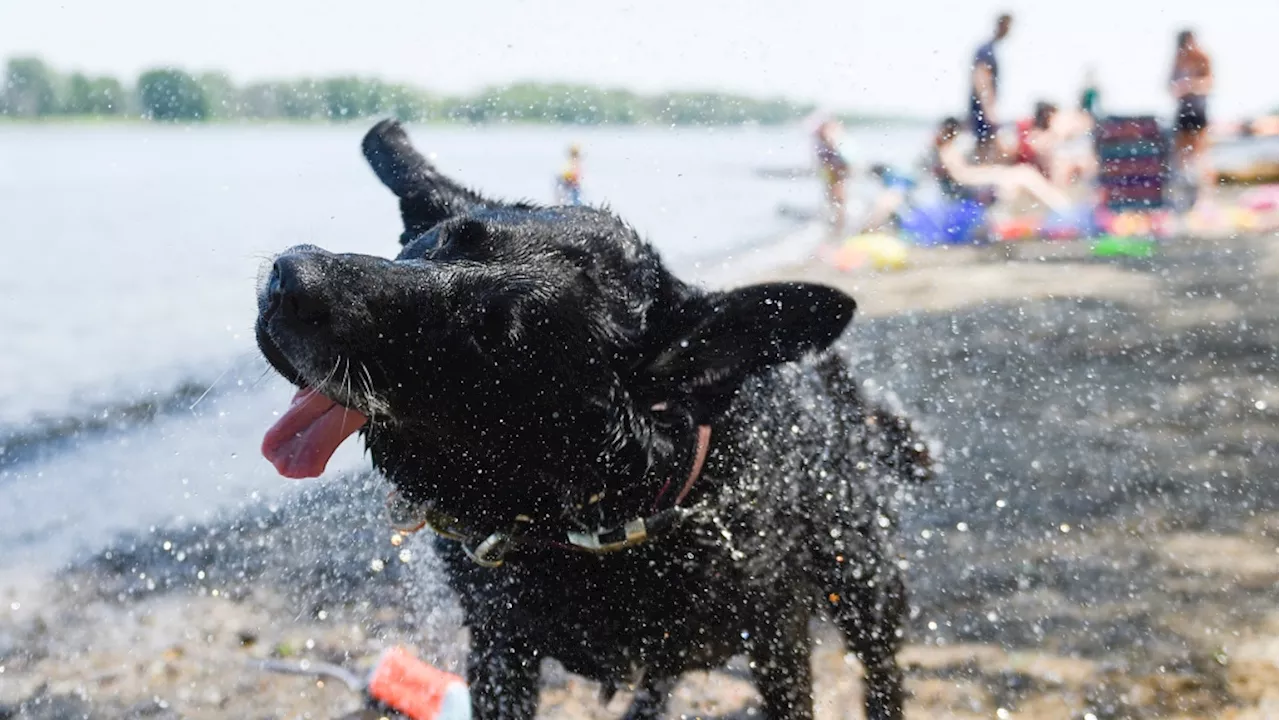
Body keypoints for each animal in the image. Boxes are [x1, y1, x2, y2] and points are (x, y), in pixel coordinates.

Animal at [252, 119, 931, 717]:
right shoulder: (500, 650)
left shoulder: (779, 641)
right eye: (444, 240)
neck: (606, 518)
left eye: (496, 337)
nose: (292, 278)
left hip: (866, 587)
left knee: (882, 675)